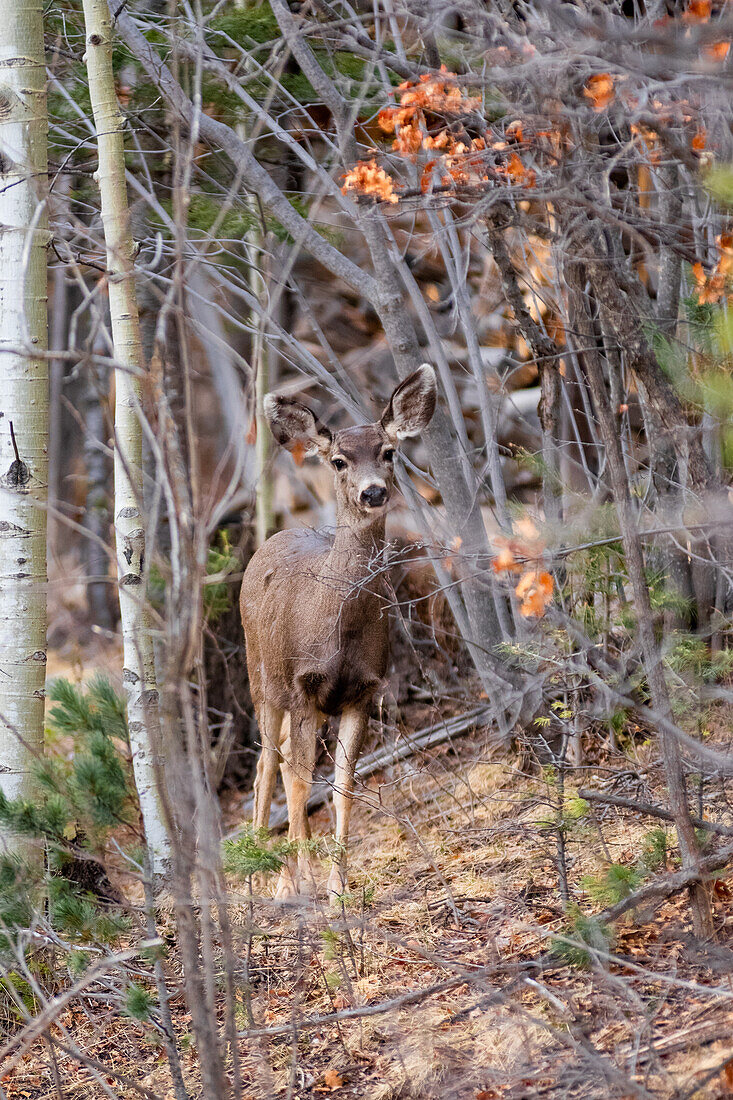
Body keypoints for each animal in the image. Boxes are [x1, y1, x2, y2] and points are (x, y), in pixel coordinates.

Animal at [238, 365, 433, 897]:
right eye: (340, 461)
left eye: (388, 452)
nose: (373, 492)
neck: (338, 630)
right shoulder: (302, 686)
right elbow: (300, 781)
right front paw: (303, 885)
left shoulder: (363, 690)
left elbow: (343, 786)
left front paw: (336, 886)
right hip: (262, 680)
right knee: (270, 764)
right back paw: (261, 879)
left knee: (281, 760)